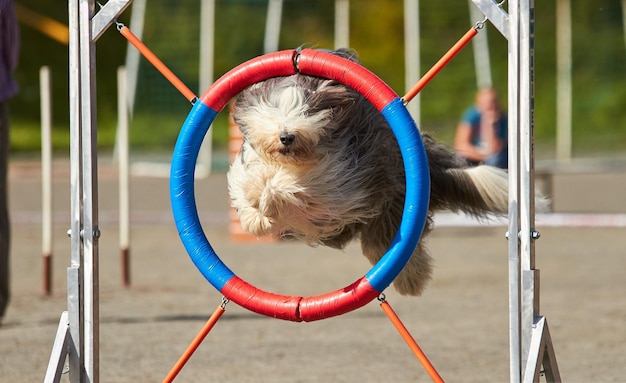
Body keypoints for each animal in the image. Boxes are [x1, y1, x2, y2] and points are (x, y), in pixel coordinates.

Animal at [227, 48, 544, 296]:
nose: (287, 137)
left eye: (309, 110)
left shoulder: (341, 181)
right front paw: (255, 216)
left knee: (388, 245)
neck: (292, 162)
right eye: (272, 107)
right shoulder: (252, 165)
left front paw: (268, 195)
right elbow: (247, 185)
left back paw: (412, 281)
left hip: (391, 203)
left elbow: (297, 188)